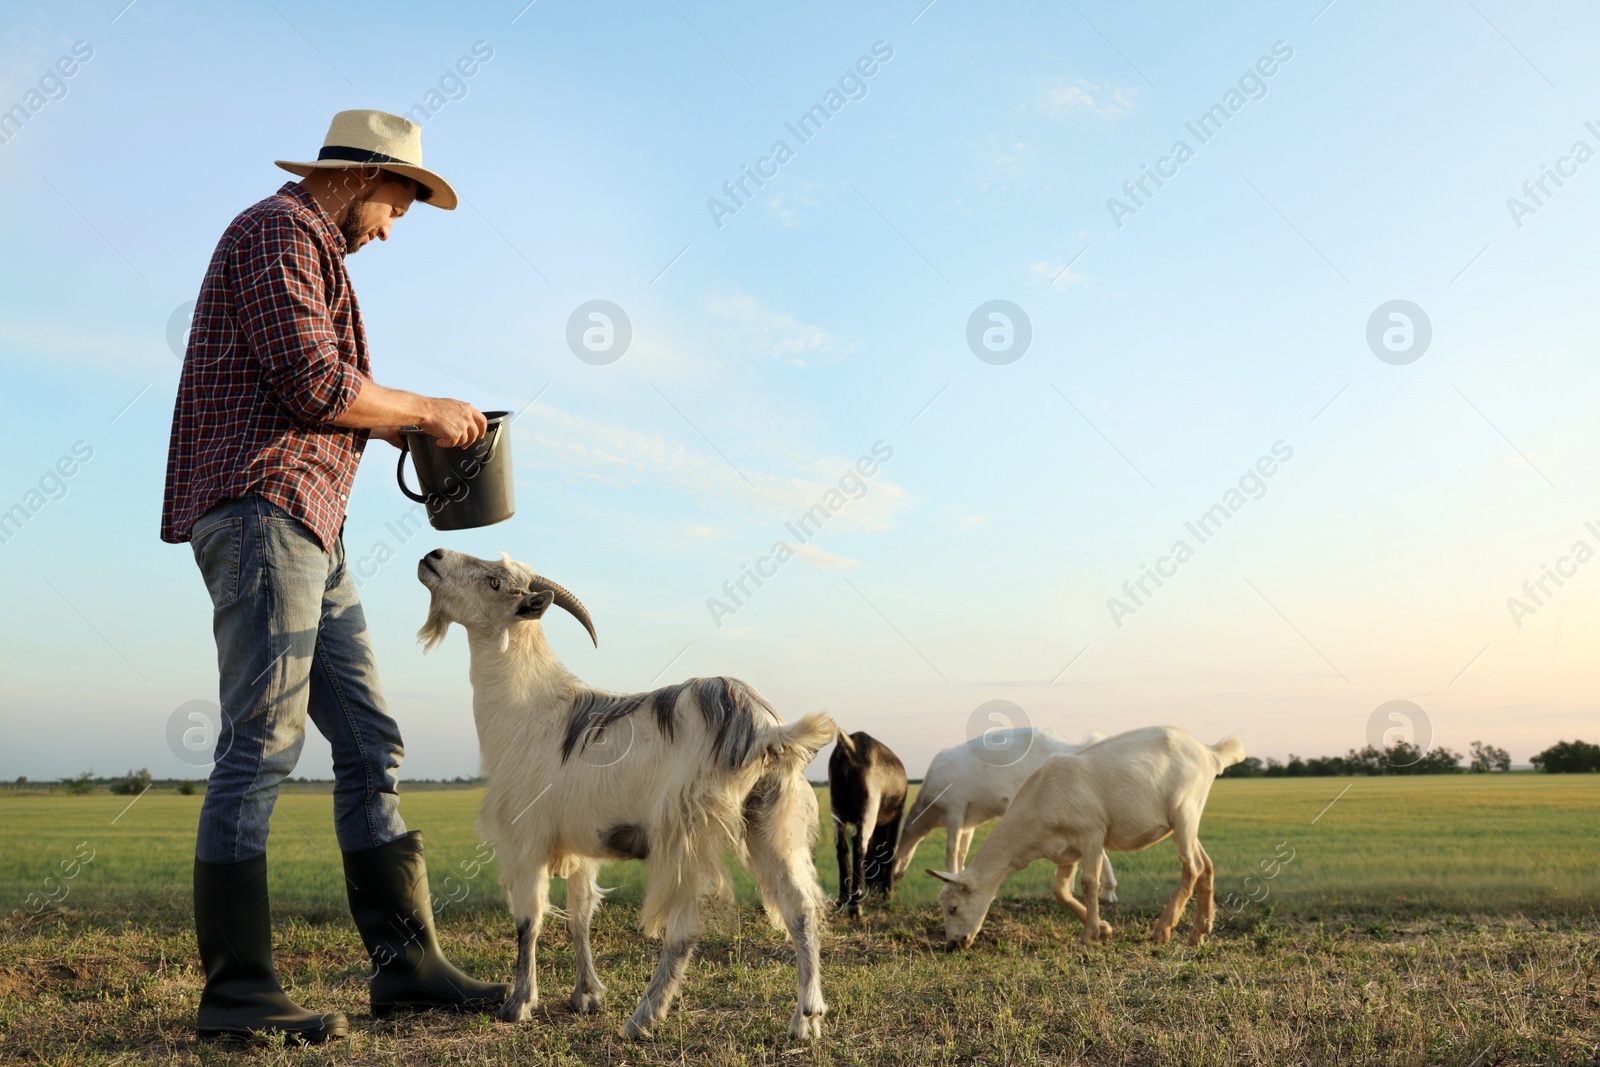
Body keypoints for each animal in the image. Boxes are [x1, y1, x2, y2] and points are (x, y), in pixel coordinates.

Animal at [412, 550, 838, 1043]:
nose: (433, 556)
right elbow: (579, 915)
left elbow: (528, 920)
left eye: (496, 581)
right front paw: (586, 996)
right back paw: (806, 1019)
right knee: (800, 910)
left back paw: (643, 1018)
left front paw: (518, 1004)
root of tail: (764, 728)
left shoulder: (526, 837)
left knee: (684, 929)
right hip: (771, 825)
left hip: (687, 832)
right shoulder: (579, 842)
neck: (528, 708)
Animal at [832, 735, 908, 921]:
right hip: (869, 807)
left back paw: (843, 898)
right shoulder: (898, 816)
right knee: (859, 844)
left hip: (837, 807)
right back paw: (856, 905)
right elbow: (890, 851)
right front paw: (887, 891)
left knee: (841, 846)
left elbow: (872, 852)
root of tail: (849, 747)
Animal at [928, 726, 1248, 953]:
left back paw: (1163, 929)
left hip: (1184, 810)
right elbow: (1060, 890)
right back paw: (1198, 934)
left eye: (953, 907)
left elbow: (1088, 883)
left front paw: (1088, 936)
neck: (1038, 802)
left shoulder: (1091, 835)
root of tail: (1210, 753)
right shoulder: (1065, 850)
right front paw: (1103, 929)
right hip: (1185, 820)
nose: (953, 944)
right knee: (1206, 865)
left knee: (1191, 867)